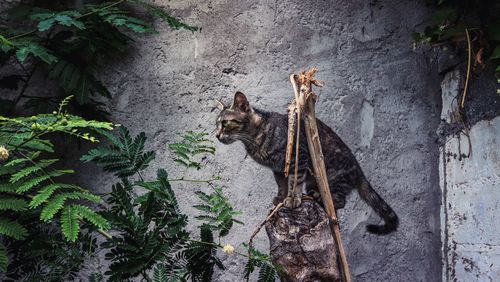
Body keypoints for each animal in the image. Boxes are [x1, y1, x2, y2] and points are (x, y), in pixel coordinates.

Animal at [215, 91, 398, 235]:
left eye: (225, 123)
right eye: (216, 124)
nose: (216, 135)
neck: (256, 138)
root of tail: (359, 170)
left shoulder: (298, 156)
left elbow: (294, 181)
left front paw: (293, 199)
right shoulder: (279, 169)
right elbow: (282, 184)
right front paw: (281, 198)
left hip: (331, 176)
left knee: (339, 202)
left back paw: (318, 197)